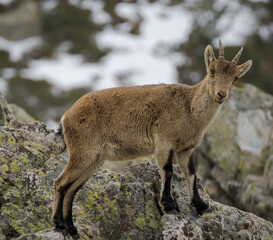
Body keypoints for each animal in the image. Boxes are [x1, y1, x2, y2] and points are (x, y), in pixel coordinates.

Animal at [51, 40, 251, 239]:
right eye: (212, 70)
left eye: (235, 78)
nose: (221, 94)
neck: (189, 107)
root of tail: (66, 116)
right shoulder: (164, 141)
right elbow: (168, 170)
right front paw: (169, 204)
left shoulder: (186, 148)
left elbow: (191, 173)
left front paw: (201, 206)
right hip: (83, 152)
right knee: (60, 183)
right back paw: (59, 224)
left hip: (94, 160)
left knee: (72, 189)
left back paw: (72, 228)